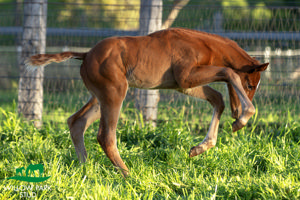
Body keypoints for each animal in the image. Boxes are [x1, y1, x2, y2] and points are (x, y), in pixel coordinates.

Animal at [27, 27, 268, 177]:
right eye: (250, 85)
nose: (236, 111)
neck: (202, 44)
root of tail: (86, 55)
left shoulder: (183, 85)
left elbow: (218, 98)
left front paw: (199, 148)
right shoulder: (186, 76)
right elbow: (228, 72)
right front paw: (243, 119)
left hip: (100, 97)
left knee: (77, 121)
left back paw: (86, 169)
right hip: (114, 93)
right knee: (105, 136)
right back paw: (127, 175)